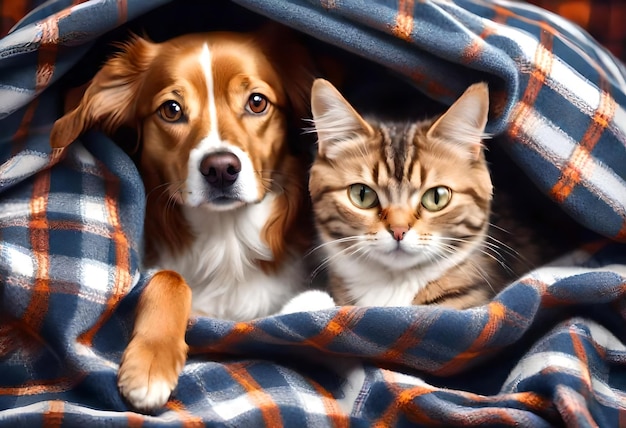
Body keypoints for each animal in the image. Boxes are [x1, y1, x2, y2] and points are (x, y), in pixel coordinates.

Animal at [49, 25, 314, 412]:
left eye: (257, 102)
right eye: (171, 110)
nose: (221, 169)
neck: (226, 241)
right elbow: (170, 278)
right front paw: (149, 364)